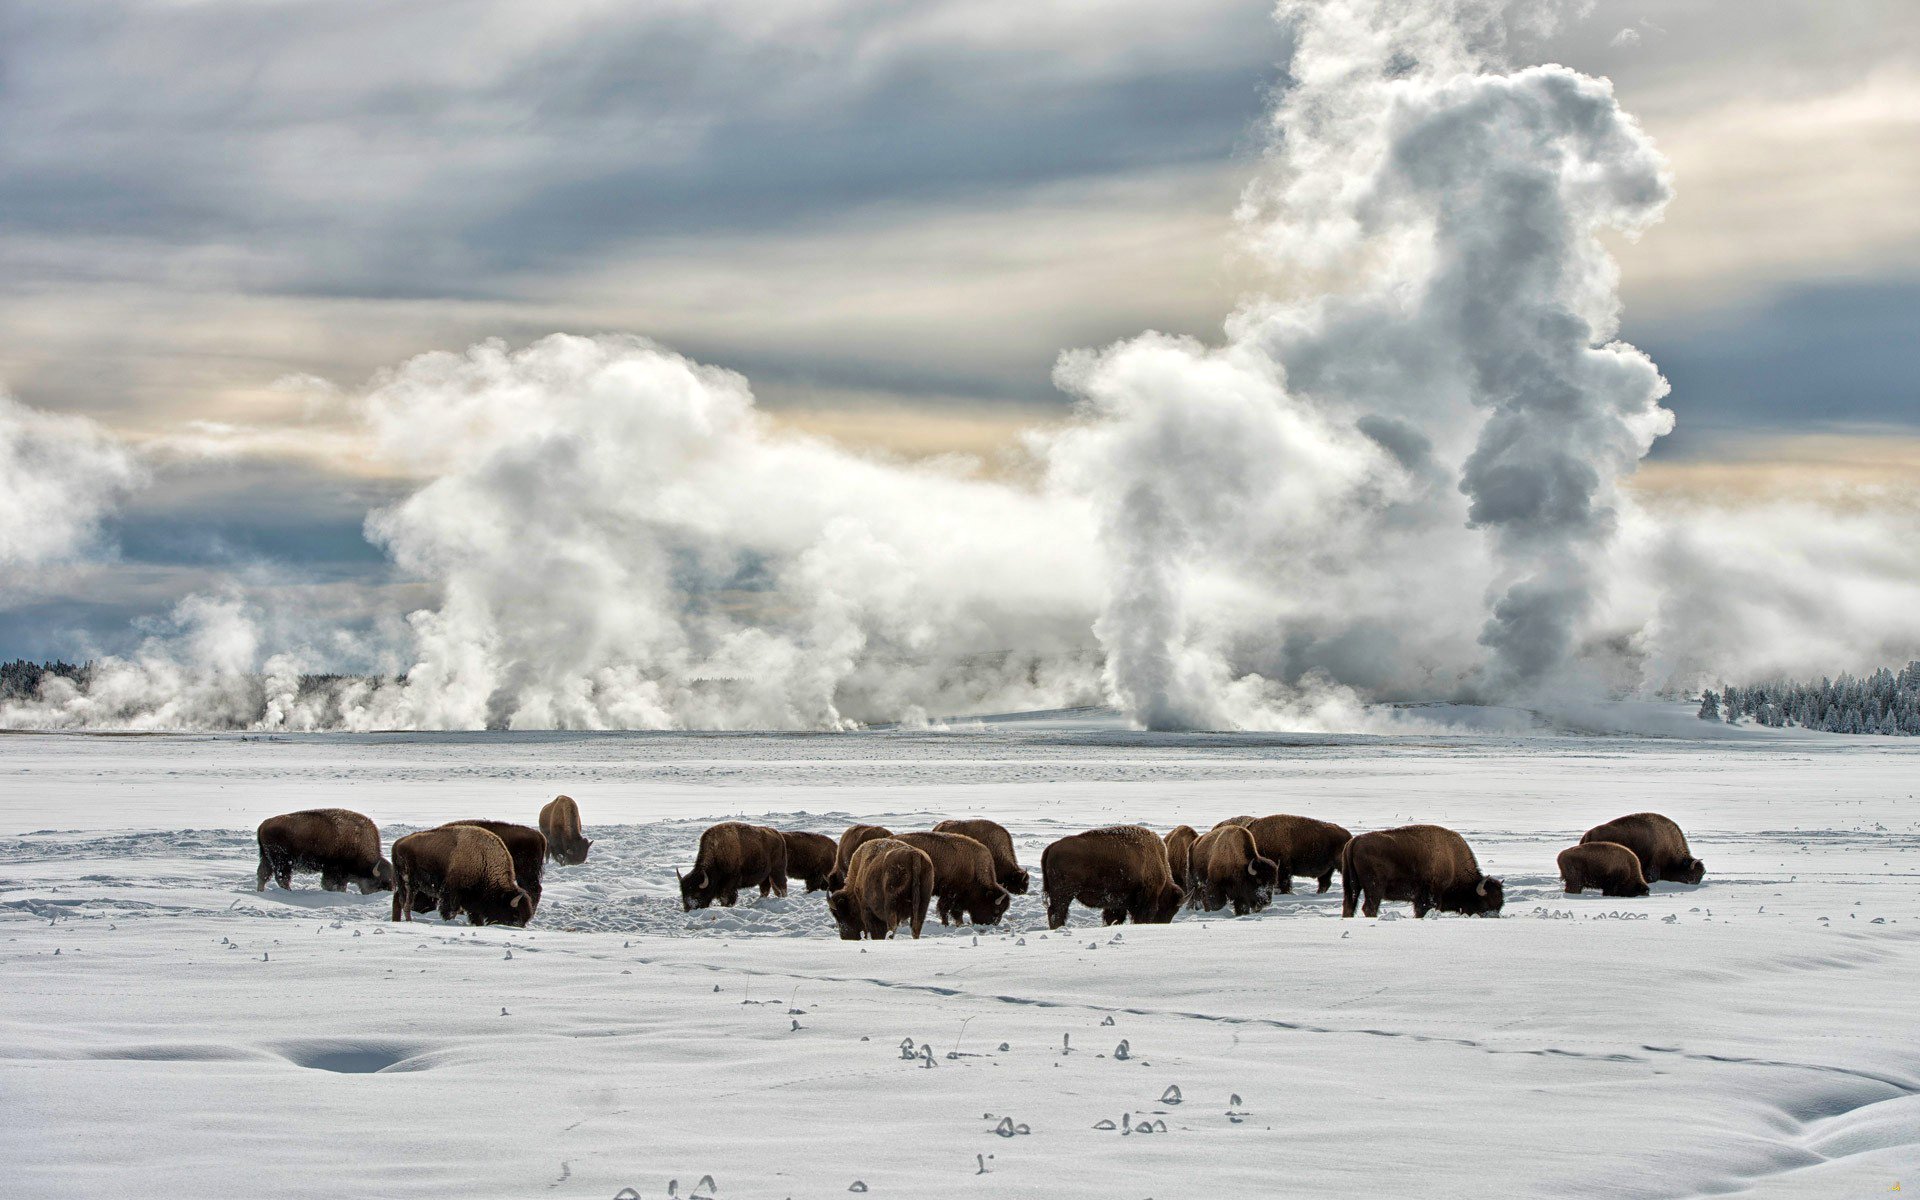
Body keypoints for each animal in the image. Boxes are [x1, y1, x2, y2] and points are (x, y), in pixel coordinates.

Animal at [255, 810, 393, 894]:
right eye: (381, 883)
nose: (390, 891)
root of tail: (264, 824)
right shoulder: (332, 870)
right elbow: (329, 884)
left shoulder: (342, 876)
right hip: (282, 862)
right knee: (282, 878)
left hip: (267, 859)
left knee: (263, 875)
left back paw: (261, 891)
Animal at [391, 821, 533, 925]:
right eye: (515, 915)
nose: (519, 926)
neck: (483, 859)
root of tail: (398, 843)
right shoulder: (452, 893)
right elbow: (451, 911)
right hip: (409, 884)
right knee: (406, 904)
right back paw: (409, 921)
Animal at [1036, 821, 1182, 925]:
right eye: (1169, 907)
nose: (1162, 922)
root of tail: (1052, 846)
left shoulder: (1116, 904)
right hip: (1063, 894)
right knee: (1057, 912)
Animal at [1213, 814, 1351, 890]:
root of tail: (1348, 836)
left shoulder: (1283, 868)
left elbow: (1283, 882)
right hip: (1328, 869)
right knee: (1324, 883)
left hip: (1338, 864)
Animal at [1336, 821, 1497, 917]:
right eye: (1485, 903)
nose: (1493, 916)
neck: (1452, 858)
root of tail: (1354, 841)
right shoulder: (1432, 895)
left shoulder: (1419, 899)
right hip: (1375, 888)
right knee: (1369, 907)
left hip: (1351, 886)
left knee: (1349, 905)